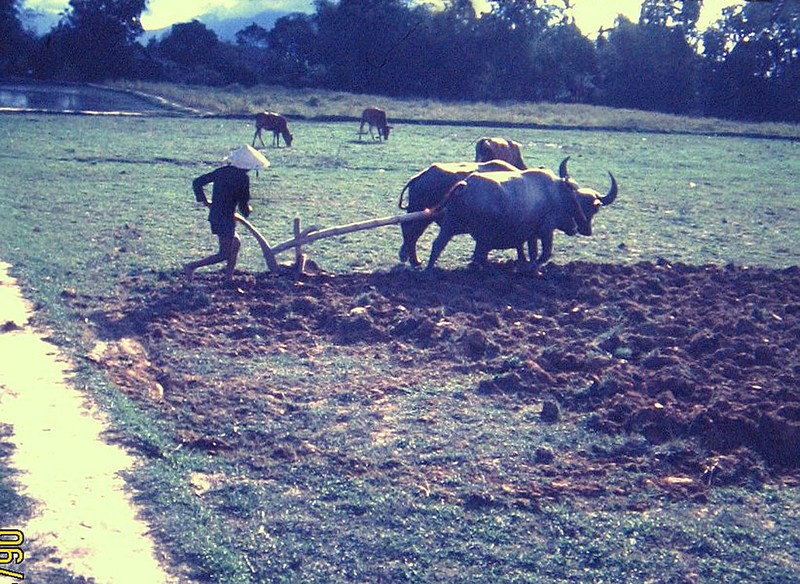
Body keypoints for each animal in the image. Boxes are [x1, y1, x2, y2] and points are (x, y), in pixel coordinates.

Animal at [424, 157, 620, 272]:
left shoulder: (531, 234)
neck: (556, 193)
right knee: (478, 256)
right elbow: (544, 254)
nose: (581, 229)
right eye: (590, 208)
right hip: (483, 235)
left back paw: (430, 271)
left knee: (438, 245)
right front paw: (534, 267)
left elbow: (532, 252)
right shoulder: (546, 230)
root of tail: (466, 184)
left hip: (450, 226)